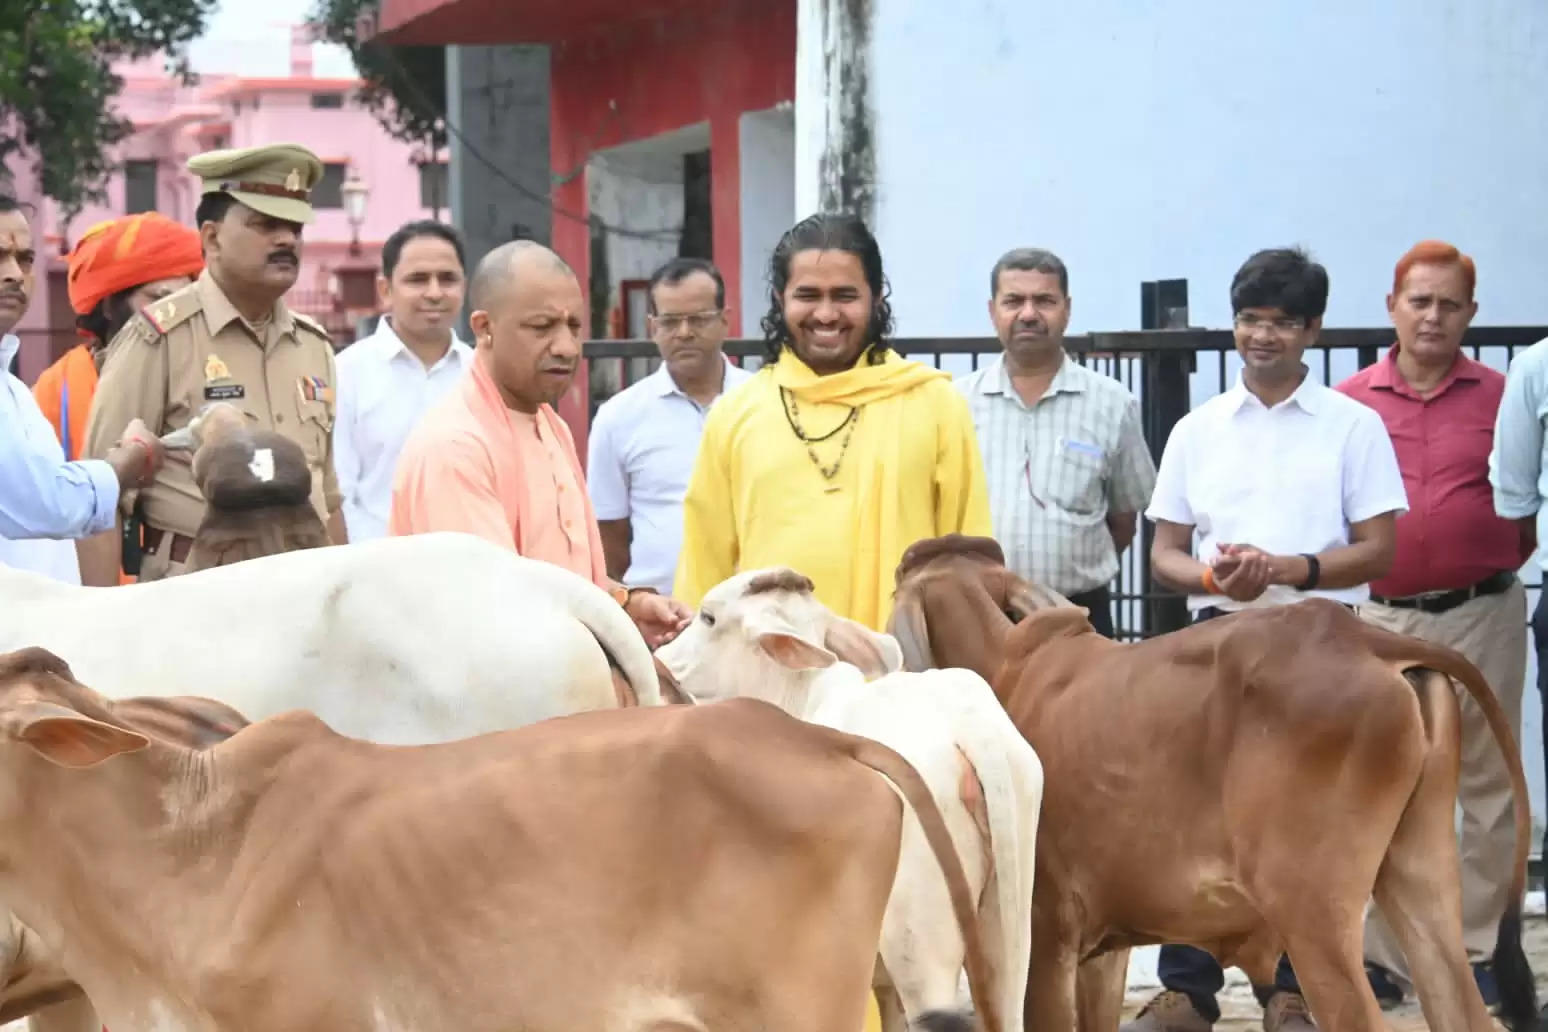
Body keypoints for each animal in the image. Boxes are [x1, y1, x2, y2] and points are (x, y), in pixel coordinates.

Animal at [891, 538, 1541, 1032]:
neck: (1006, 672)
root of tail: (1367, 641)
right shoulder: (1103, 953)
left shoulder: (1046, 936)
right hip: (1421, 882)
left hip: (1314, 919)